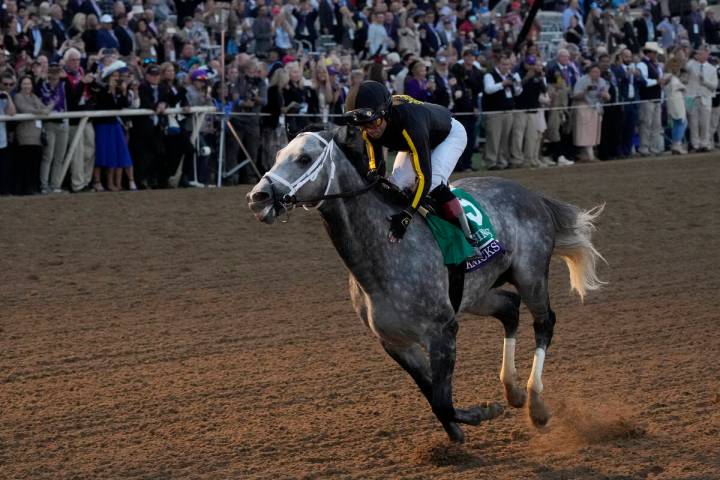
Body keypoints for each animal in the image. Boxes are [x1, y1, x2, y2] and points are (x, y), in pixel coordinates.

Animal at [245, 126, 604, 442]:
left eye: (304, 158)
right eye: (277, 155)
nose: (257, 197)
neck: (383, 251)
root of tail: (533, 196)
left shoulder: (442, 330)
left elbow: (444, 399)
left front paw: (483, 412)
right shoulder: (395, 342)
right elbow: (433, 395)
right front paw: (457, 433)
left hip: (530, 275)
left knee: (544, 323)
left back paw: (536, 404)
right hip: (477, 294)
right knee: (509, 309)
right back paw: (512, 390)